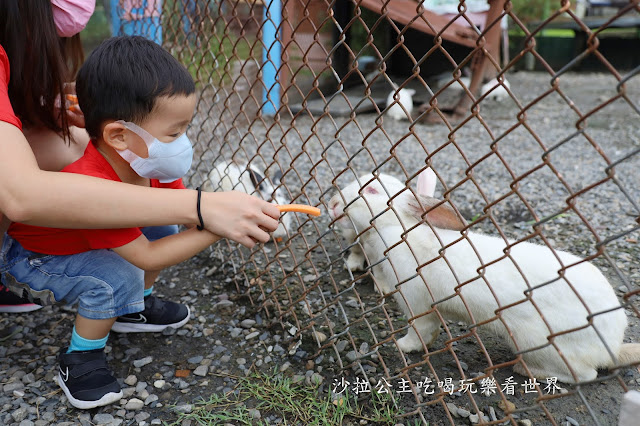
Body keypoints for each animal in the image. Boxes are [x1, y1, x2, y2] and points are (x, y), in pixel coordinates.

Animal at [330, 169, 640, 382]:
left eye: (371, 190)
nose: (332, 203)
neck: (399, 231)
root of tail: (612, 346)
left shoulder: (417, 304)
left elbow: (420, 331)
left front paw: (403, 346)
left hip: (540, 344)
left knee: (584, 375)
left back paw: (525, 369)